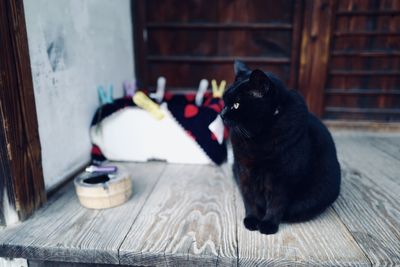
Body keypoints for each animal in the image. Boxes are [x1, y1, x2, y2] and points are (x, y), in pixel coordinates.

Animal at [222, 60, 340, 234]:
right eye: (224, 102)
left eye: (236, 105)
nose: (222, 114)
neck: (258, 138)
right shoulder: (244, 170)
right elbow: (249, 199)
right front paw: (251, 220)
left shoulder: (282, 176)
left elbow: (276, 203)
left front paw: (268, 224)